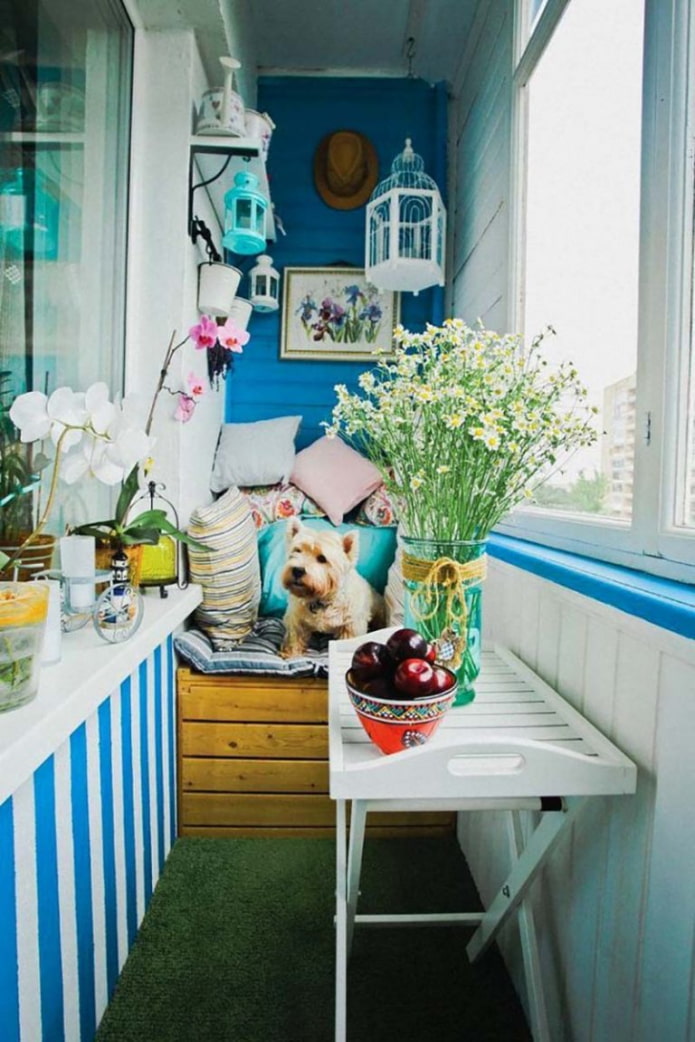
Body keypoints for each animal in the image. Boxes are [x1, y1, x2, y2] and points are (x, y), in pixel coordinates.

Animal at [277, 516, 385, 654]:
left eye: (322, 558)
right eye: (297, 551)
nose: (297, 570)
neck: (321, 599)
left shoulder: (351, 625)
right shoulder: (296, 620)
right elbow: (294, 638)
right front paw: (290, 654)